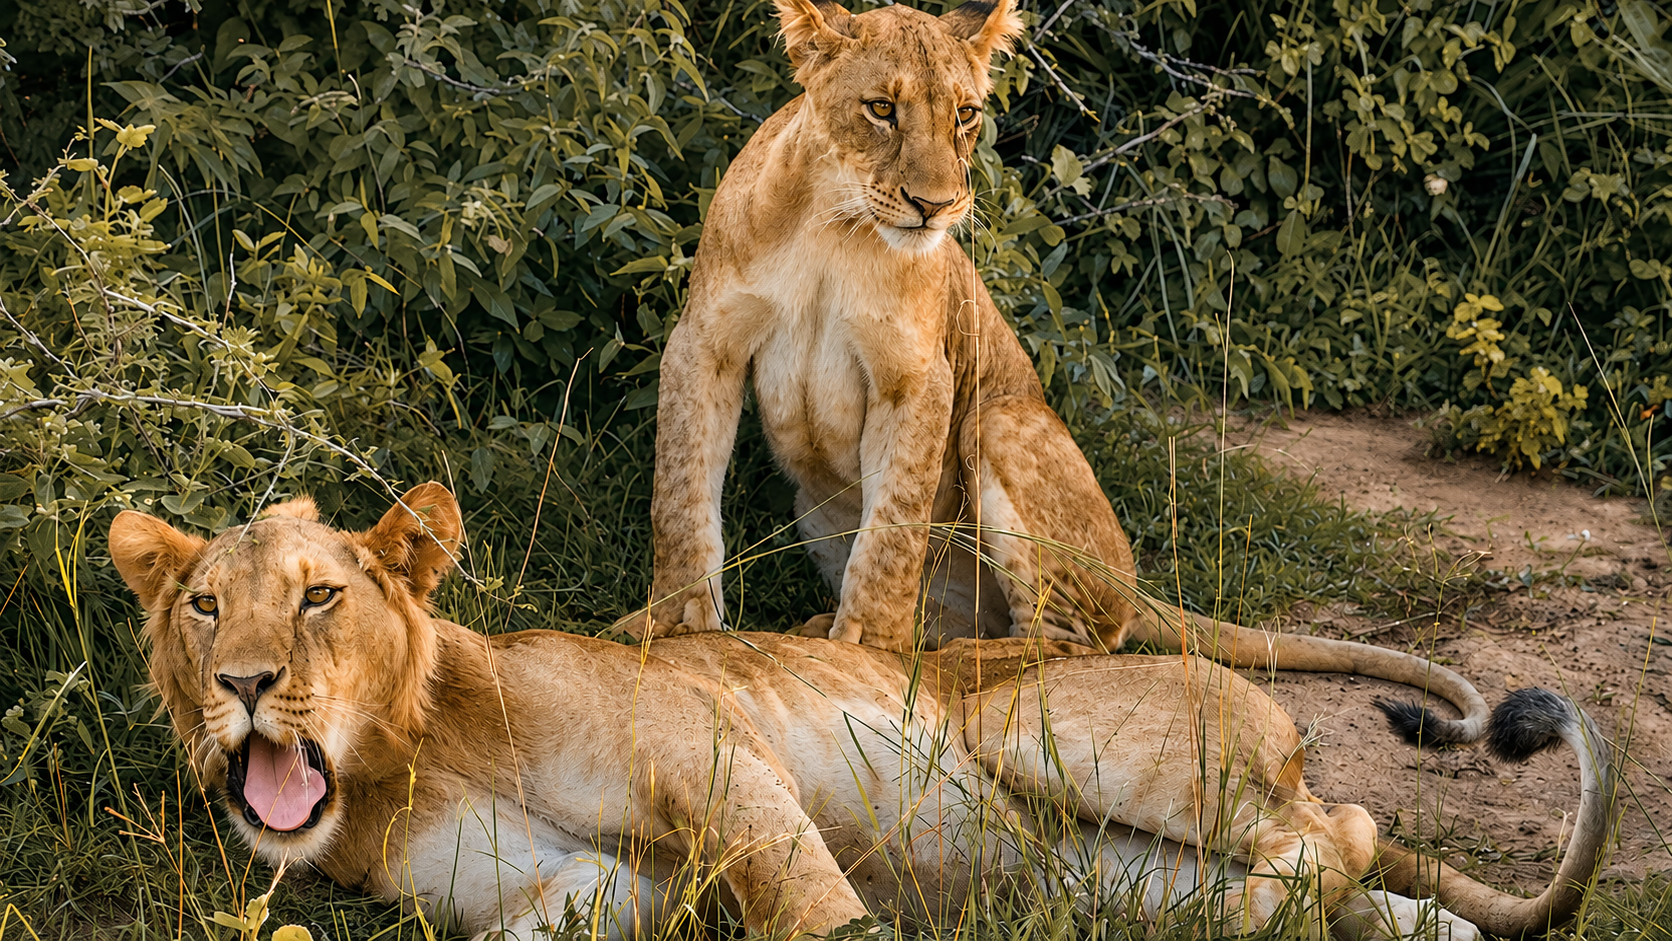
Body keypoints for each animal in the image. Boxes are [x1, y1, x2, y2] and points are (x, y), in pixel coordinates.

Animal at [109, 484, 1614, 940]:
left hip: (1041, 728)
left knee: (1339, 825)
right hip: (1106, 874)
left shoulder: (711, 754)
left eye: (316, 596)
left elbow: (804, 896)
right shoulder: (579, 889)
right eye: (205, 610)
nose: (245, 686)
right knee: (1350, 872)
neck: (404, 758)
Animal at [624, 0, 1494, 748]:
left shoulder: (922, 376)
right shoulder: (703, 342)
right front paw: (670, 629)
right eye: (880, 108)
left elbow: (891, 541)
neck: (834, 222)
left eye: (965, 115)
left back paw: (938, 659)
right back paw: (858, 634)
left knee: (1076, 639)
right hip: (819, 502)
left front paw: (863, 651)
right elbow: (681, 497)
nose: (934, 206)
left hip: (999, 419)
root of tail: (1137, 587)